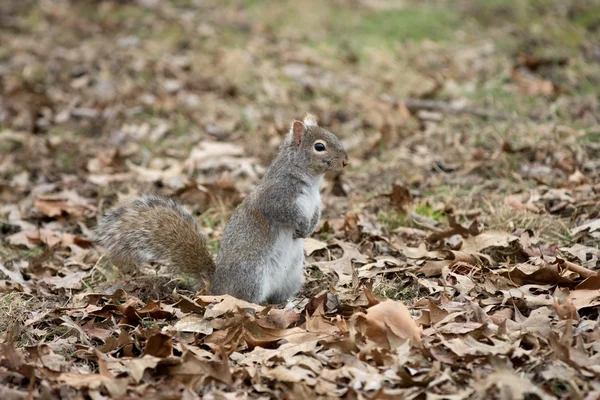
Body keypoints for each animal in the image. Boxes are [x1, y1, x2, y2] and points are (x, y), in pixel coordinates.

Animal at [93, 114, 346, 304]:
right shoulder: (276, 197)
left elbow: (316, 215)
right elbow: (284, 213)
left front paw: (310, 227)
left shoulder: (316, 202)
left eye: (334, 136)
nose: (345, 161)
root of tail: (217, 286)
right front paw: (301, 226)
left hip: (292, 275)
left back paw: (290, 302)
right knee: (245, 299)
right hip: (252, 274)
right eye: (319, 147)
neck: (312, 182)